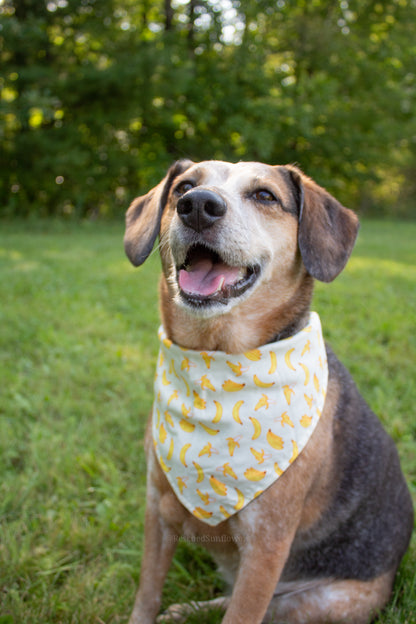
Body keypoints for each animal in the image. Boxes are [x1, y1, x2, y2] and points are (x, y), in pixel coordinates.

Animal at [123, 161, 412, 624]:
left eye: (264, 196)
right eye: (184, 187)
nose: (198, 205)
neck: (214, 362)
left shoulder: (266, 546)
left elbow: (241, 614)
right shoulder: (158, 511)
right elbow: (147, 596)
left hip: (313, 603)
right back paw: (187, 609)